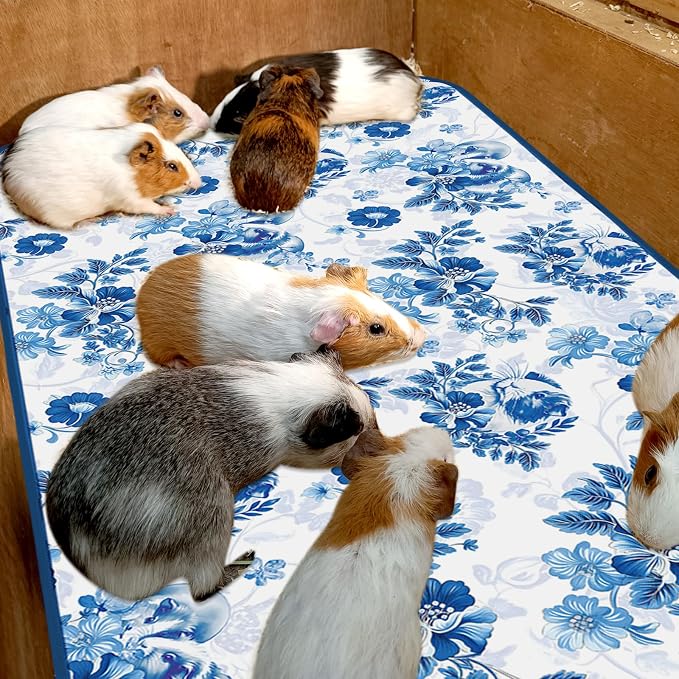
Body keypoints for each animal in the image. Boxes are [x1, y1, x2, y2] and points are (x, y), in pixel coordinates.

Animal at [2, 123, 201, 229]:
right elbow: (150, 206)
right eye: (172, 166)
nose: (198, 182)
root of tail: (7, 171)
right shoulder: (131, 199)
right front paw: (169, 210)